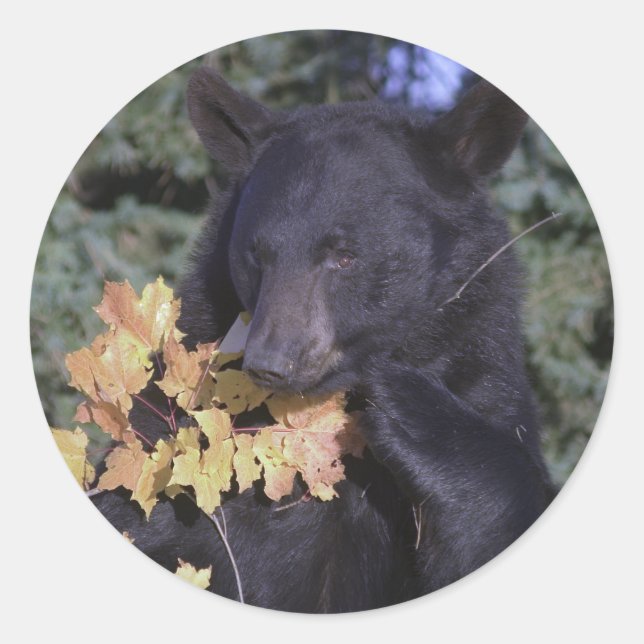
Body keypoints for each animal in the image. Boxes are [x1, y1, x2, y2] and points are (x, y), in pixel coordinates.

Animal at [93, 68, 555, 613]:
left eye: (344, 255)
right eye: (257, 253)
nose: (271, 361)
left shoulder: (484, 384)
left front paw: (416, 416)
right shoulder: (170, 452)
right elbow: (146, 521)